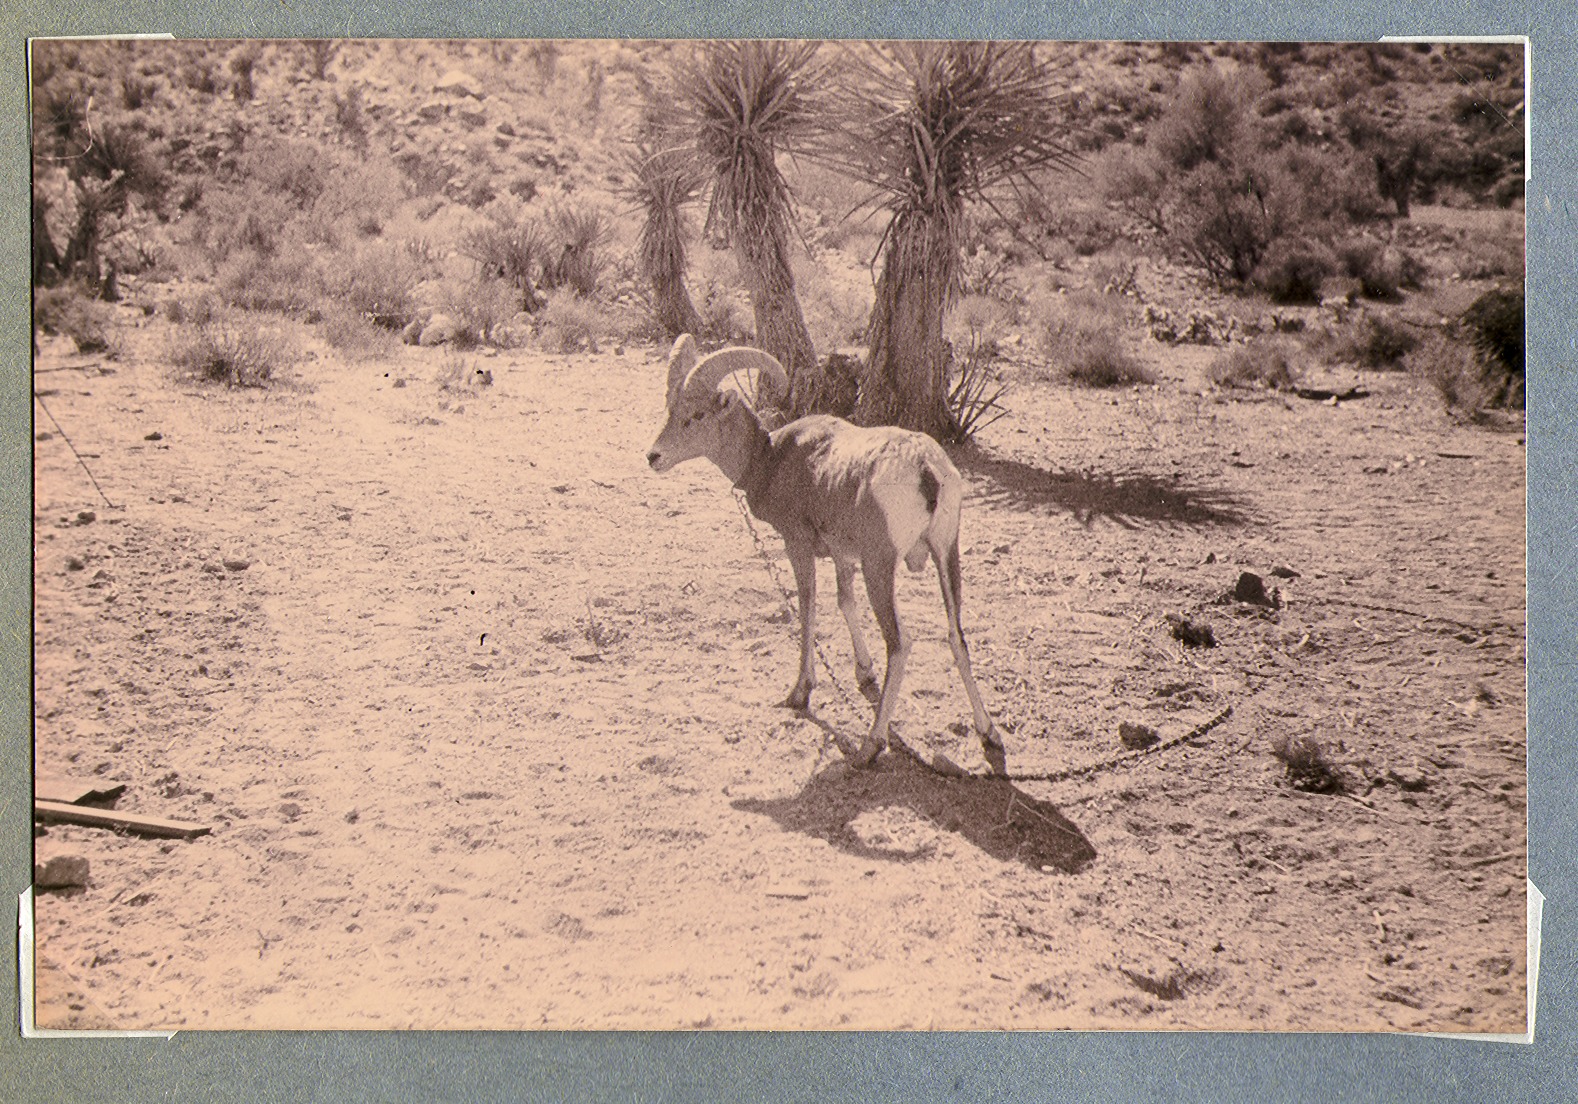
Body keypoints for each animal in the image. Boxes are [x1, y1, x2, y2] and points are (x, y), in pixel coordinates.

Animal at [646, 334, 1002, 770]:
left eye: (695, 415)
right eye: (670, 410)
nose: (653, 457)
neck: (770, 459)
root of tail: (926, 470)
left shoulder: (798, 546)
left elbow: (808, 609)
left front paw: (799, 693)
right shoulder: (843, 554)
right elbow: (844, 602)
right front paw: (863, 673)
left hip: (881, 566)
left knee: (900, 643)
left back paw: (870, 746)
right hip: (945, 553)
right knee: (957, 636)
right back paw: (988, 734)